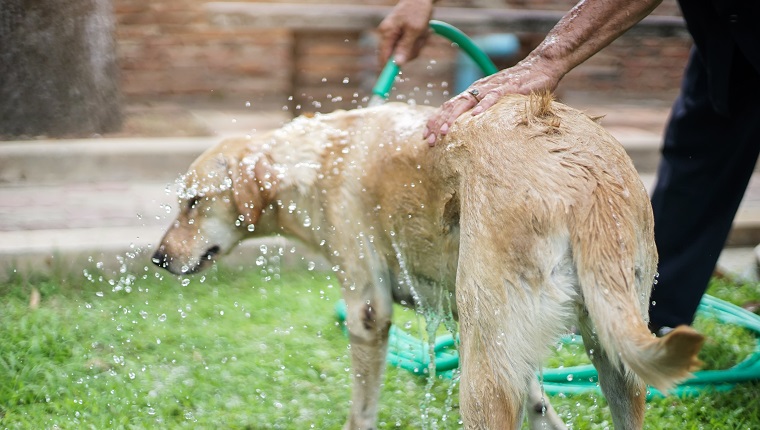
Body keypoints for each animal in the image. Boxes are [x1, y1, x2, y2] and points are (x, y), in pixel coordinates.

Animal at [154, 95, 708, 430]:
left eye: (194, 203)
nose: (159, 258)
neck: (318, 159)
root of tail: (585, 176)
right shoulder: (513, 350)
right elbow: (540, 401)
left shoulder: (368, 313)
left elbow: (361, 411)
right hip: (605, 355)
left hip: (481, 367)